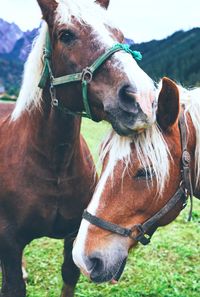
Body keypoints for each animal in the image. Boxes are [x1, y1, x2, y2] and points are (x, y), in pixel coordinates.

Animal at [0, 0, 156, 294]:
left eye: (119, 34)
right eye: (66, 35)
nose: (143, 98)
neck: (55, 162)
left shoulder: (74, 236)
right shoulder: (10, 244)